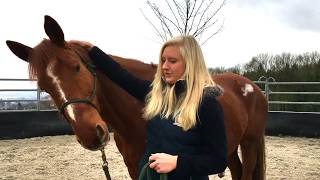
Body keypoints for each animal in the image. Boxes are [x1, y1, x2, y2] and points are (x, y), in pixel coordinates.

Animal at [6, 15, 268, 180]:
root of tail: (253, 87)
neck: (137, 113)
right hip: (230, 147)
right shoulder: (134, 165)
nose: (91, 134)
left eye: (76, 67)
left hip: (250, 143)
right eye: (44, 86)